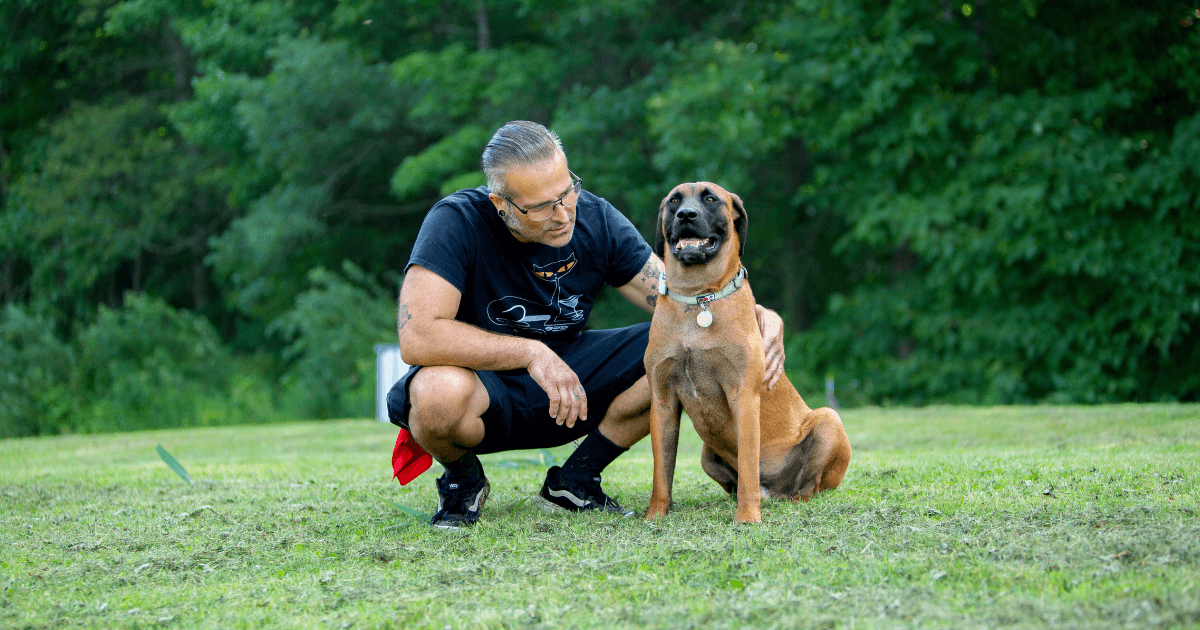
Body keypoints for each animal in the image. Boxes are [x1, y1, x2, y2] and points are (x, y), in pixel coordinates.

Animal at [648, 180, 854, 520]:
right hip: (707, 453)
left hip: (829, 421)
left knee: (809, 486)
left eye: (710, 198)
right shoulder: (663, 400)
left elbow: (747, 467)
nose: (686, 215)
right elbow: (662, 472)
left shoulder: (742, 395)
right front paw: (655, 517)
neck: (698, 298)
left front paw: (747, 518)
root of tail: (777, 490)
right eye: (674, 200)